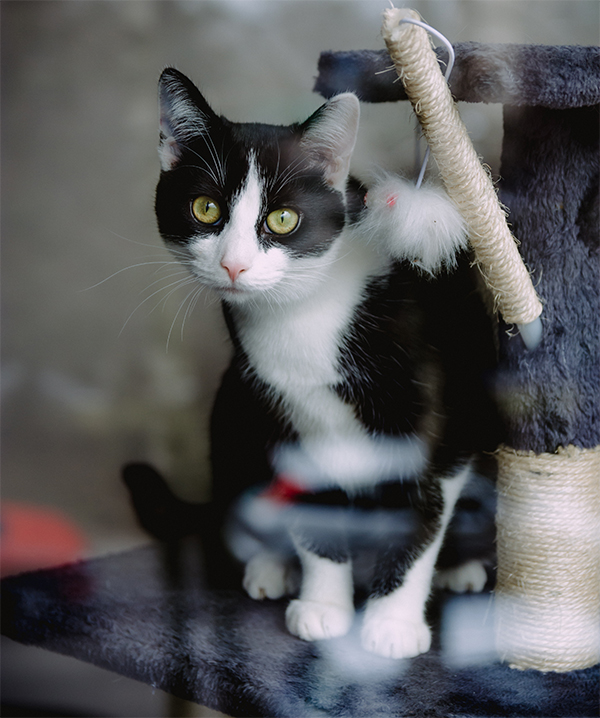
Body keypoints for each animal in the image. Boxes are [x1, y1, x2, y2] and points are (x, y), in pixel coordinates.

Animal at [152, 70, 500, 660]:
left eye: (283, 218)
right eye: (205, 209)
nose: (234, 265)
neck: (305, 315)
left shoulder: (438, 423)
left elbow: (424, 508)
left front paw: (391, 624)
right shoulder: (276, 405)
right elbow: (312, 514)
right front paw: (323, 608)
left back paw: (460, 568)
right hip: (233, 405)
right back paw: (271, 566)